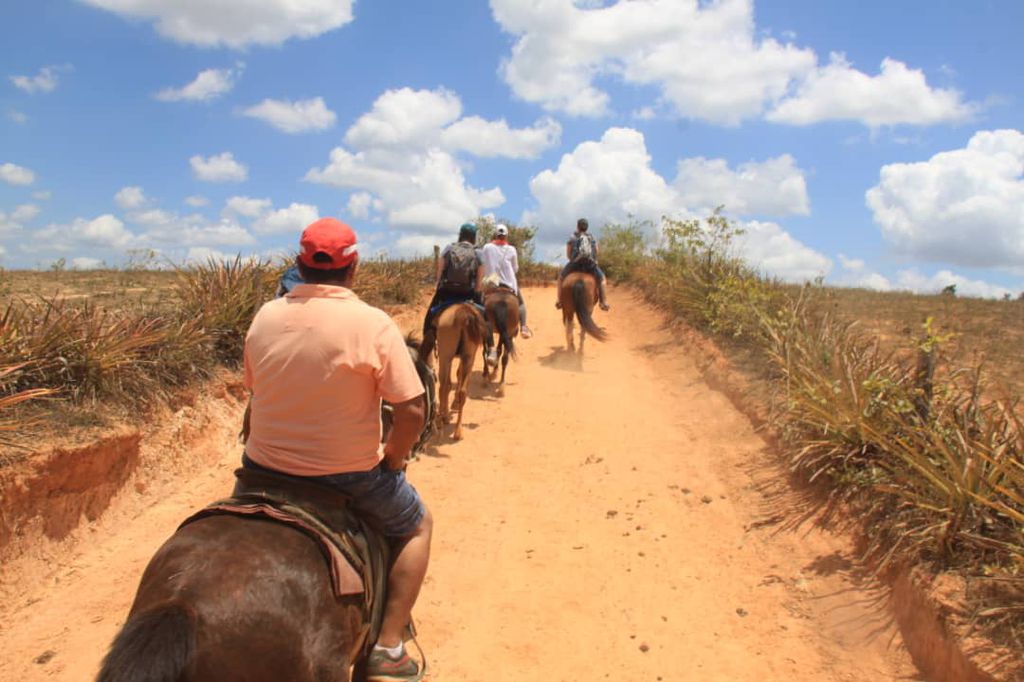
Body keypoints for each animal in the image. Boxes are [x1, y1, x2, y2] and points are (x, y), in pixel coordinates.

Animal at [428, 301, 483, 438]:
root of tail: (463, 315)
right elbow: (457, 377)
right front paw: (453, 406)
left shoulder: (448, 358)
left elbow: (448, 383)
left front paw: (446, 414)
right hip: (468, 357)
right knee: (462, 390)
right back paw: (458, 431)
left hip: (445, 356)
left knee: (443, 386)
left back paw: (441, 421)